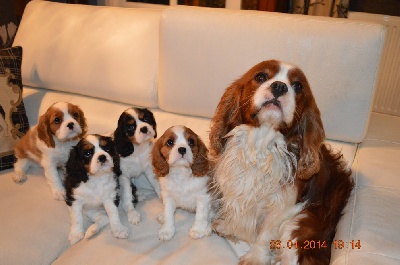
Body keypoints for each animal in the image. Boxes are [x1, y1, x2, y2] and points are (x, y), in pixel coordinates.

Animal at [209, 59, 354, 264]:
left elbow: (265, 233)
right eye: (260, 77)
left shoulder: (284, 204)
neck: (261, 145)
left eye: (298, 86)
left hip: (300, 226)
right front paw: (230, 227)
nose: (279, 86)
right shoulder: (236, 186)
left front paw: (255, 257)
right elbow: (238, 209)